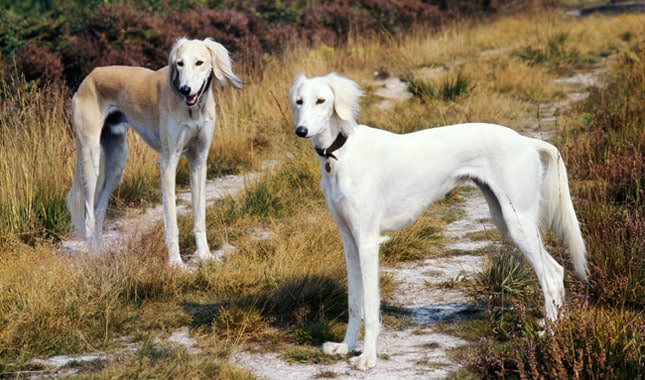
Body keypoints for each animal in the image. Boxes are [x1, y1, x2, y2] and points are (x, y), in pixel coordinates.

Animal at [66, 37, 242, 268]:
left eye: (199, 62)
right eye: (179, 63)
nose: (185, 89)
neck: (193, 109)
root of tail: (89, 77)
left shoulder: (199, 160)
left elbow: (200, 215)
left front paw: (205, 256)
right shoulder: (168, 162)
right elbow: (171, 221)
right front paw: (176, 263)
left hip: (117, 162)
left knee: (98, 209)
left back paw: (100, 252)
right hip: (90, 158)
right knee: (88, 213)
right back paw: (94, 256)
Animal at [290, 72, 588, 370]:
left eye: (321, 101)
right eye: (299, 101)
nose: (301, 131)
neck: (342, 152)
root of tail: (526, 141)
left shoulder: (368, 241)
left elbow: (370, 307)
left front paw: (368, 358)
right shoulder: (350, 241)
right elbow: (354, 302)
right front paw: (346, 346)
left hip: (517, 220)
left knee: (551, 275)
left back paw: (551, 337)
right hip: (505, 219)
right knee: (556, 270)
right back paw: (554, 327)